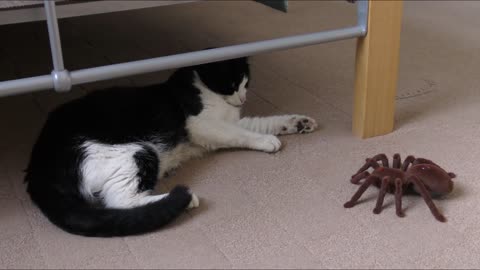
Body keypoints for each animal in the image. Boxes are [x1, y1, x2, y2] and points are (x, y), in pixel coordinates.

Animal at [25, 57, 318, 236]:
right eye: (232, 84)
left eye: (247, 82)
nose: (243, 98)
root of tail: (38, 163)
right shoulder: (202, 124)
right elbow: (240, 134)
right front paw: (267, 142)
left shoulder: (232, 120)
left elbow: (260, 123)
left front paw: (298, 123)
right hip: (133, 152)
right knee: (120, 200)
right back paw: (182, 199)